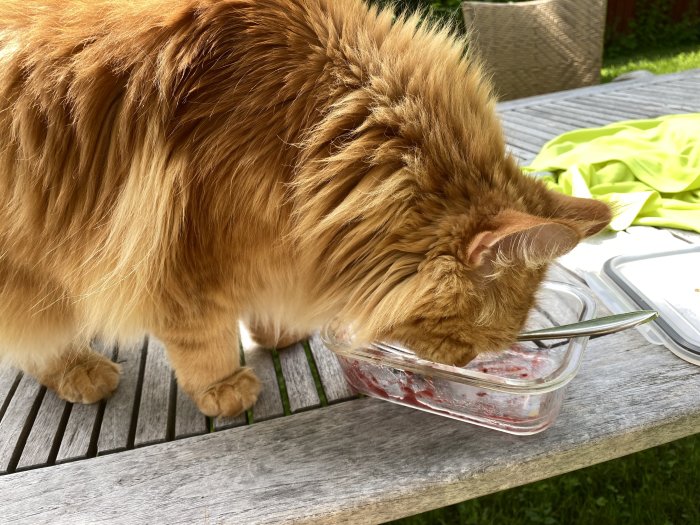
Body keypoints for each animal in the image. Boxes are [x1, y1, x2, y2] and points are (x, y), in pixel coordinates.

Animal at [0, 1, 612, 418]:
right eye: (468, 342)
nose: (460, 369)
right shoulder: (187, 261)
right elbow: (204, 339)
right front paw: (223, 387)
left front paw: (277, 330)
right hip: (28, 264)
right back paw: (81, 369)